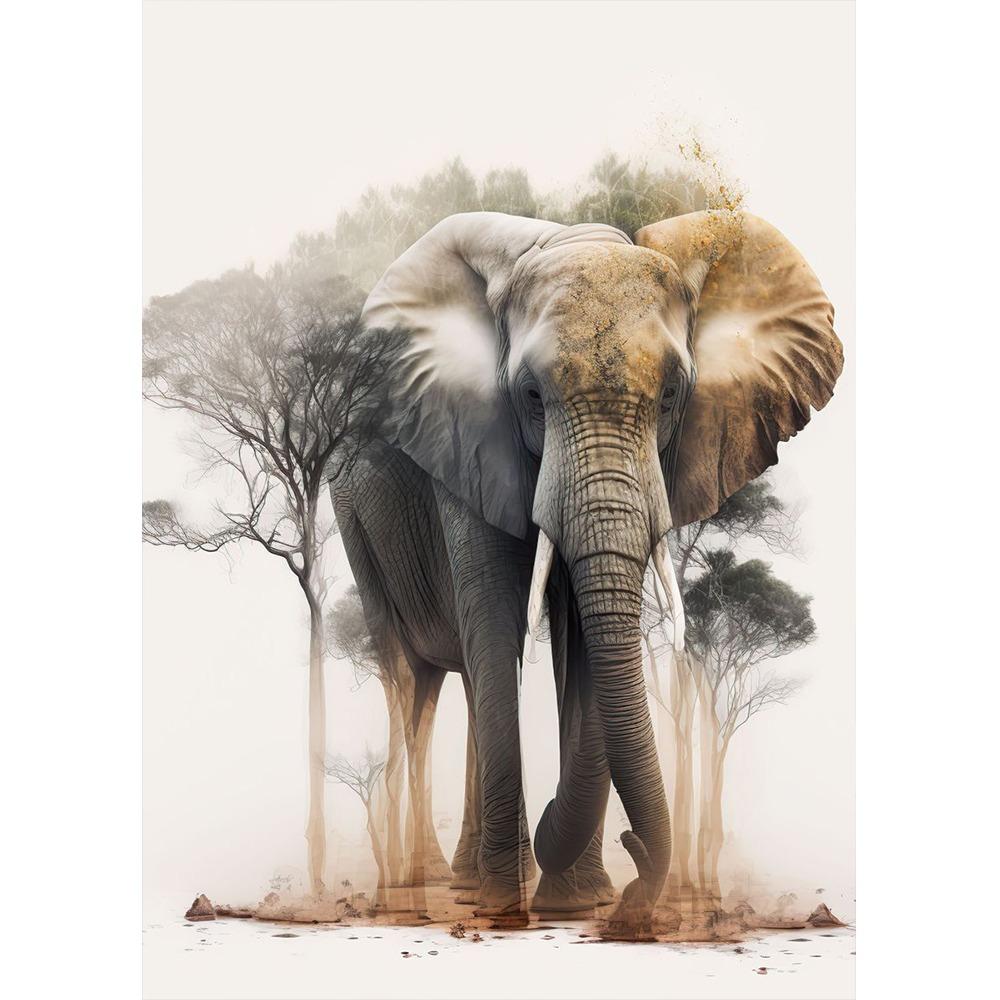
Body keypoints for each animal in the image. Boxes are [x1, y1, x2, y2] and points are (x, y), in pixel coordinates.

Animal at [331, 209, 842, 922]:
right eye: (530, 396)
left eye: (671, 396)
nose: (634, 857)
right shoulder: (466, 438)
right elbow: (497, 618)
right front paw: (509, 905)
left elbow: (577, 635)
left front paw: (575, 904)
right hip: (351, 512)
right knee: (411, 677)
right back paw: (423, 887)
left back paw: (465, 877)